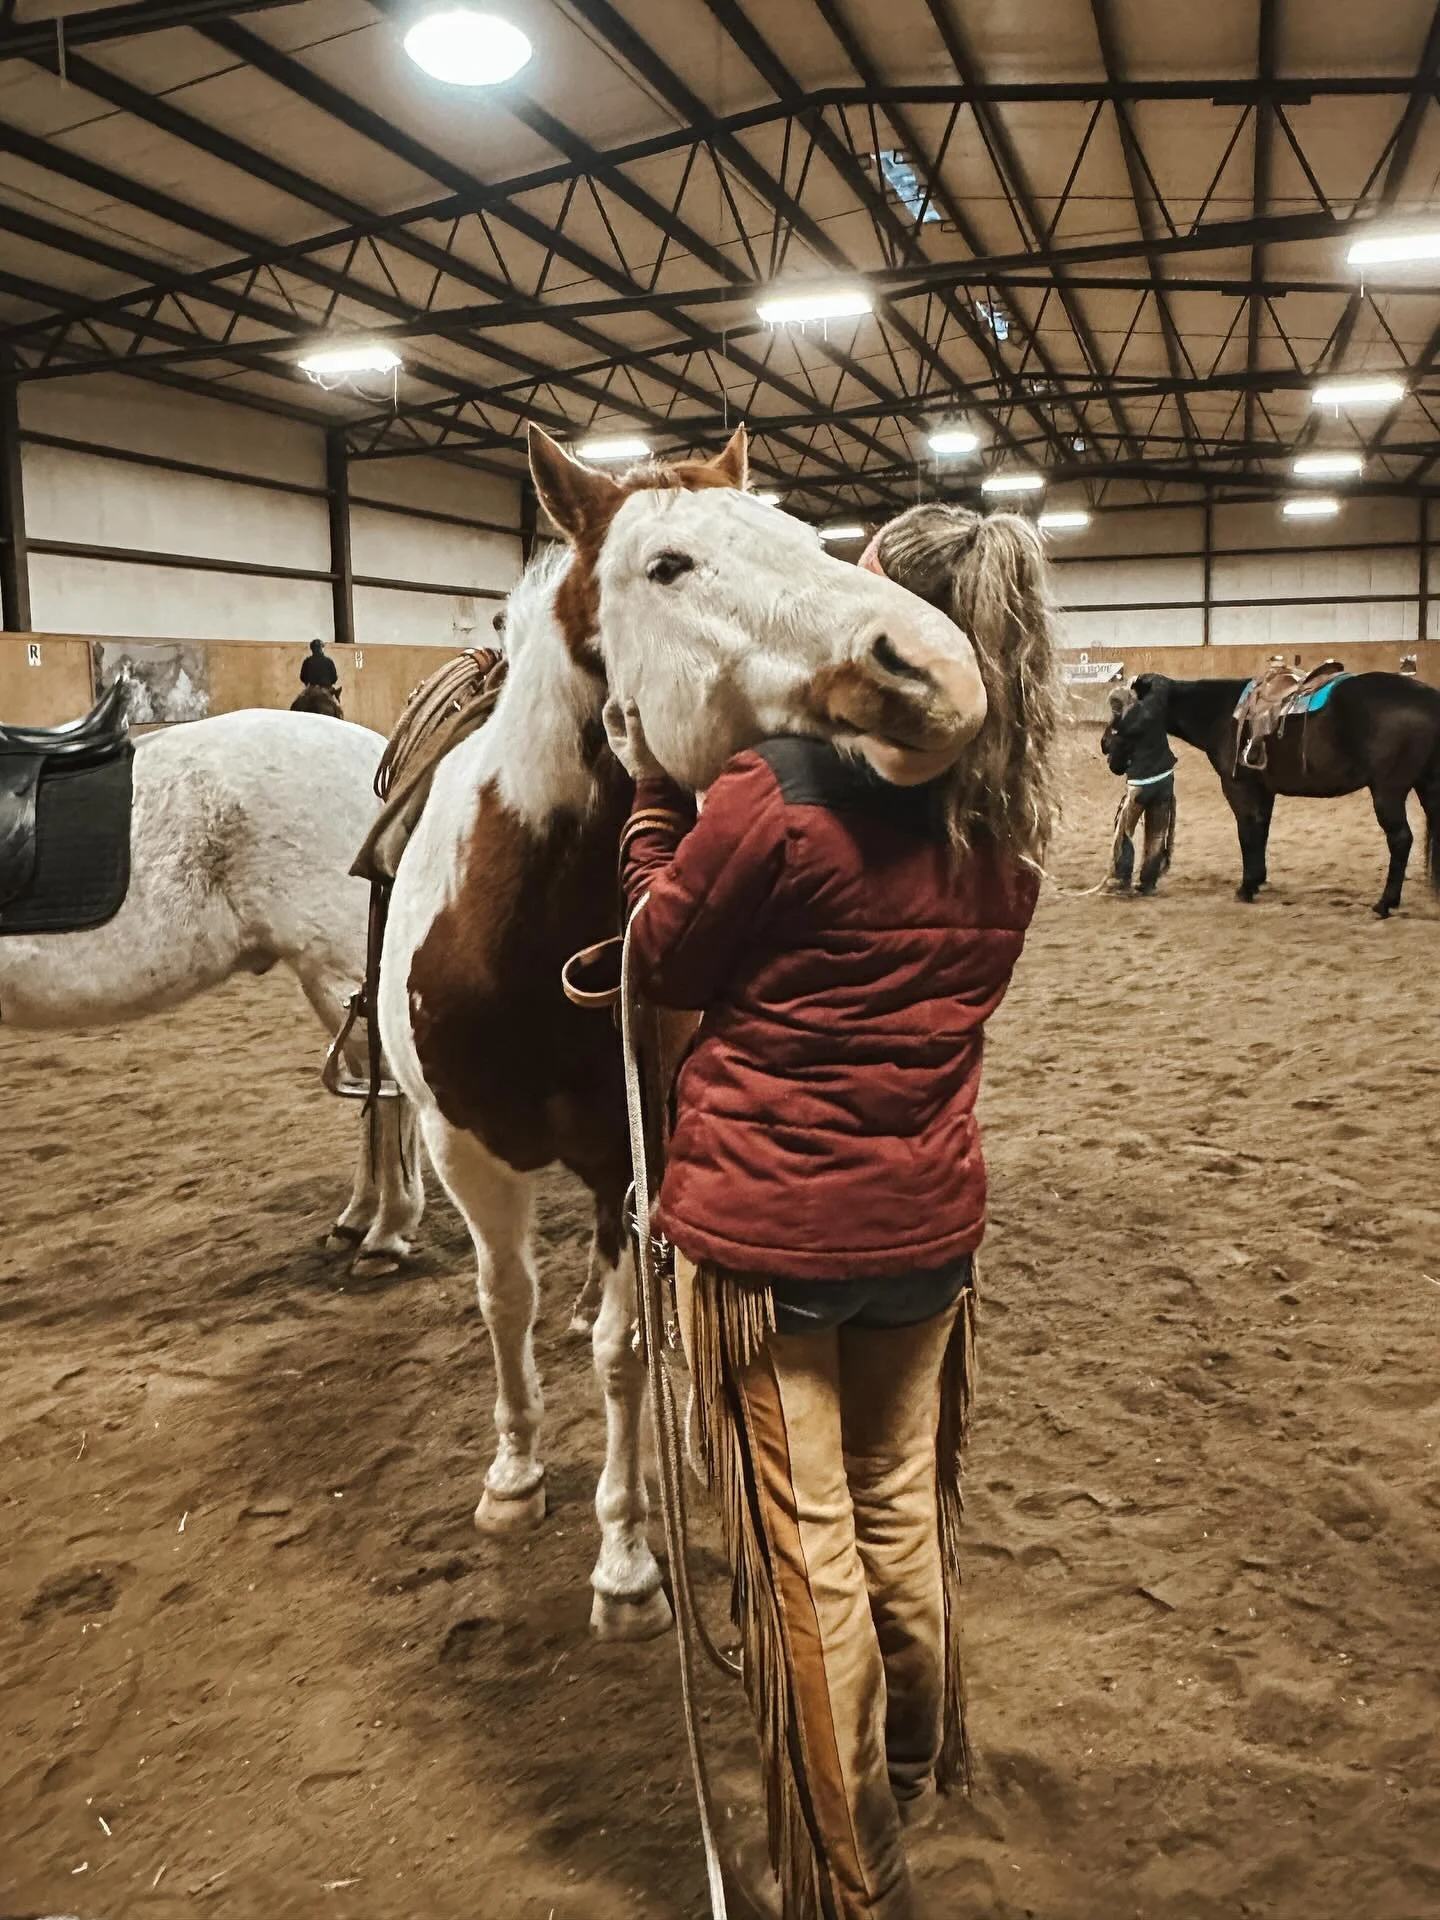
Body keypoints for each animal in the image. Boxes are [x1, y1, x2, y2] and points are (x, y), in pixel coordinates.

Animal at [377, 423, 993, 1640]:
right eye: (665, 566)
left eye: (802, 536)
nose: (936, 666)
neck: (520, 944)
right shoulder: (458, 1146)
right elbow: (502, 1301)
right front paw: (513, 1475)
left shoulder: (634, 1154)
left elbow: (624, 1355)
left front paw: (625, 1558)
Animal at [1133, 671, 1440, 916]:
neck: (1221, 712)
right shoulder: (1263, 791)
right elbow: (1261, 831)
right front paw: (1257, 880)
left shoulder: (1239, 788)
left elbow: (1247, 832)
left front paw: (1246, 887)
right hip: (1428, 787)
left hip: (1388, 791)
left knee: (1400, 840)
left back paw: (1385, 903)